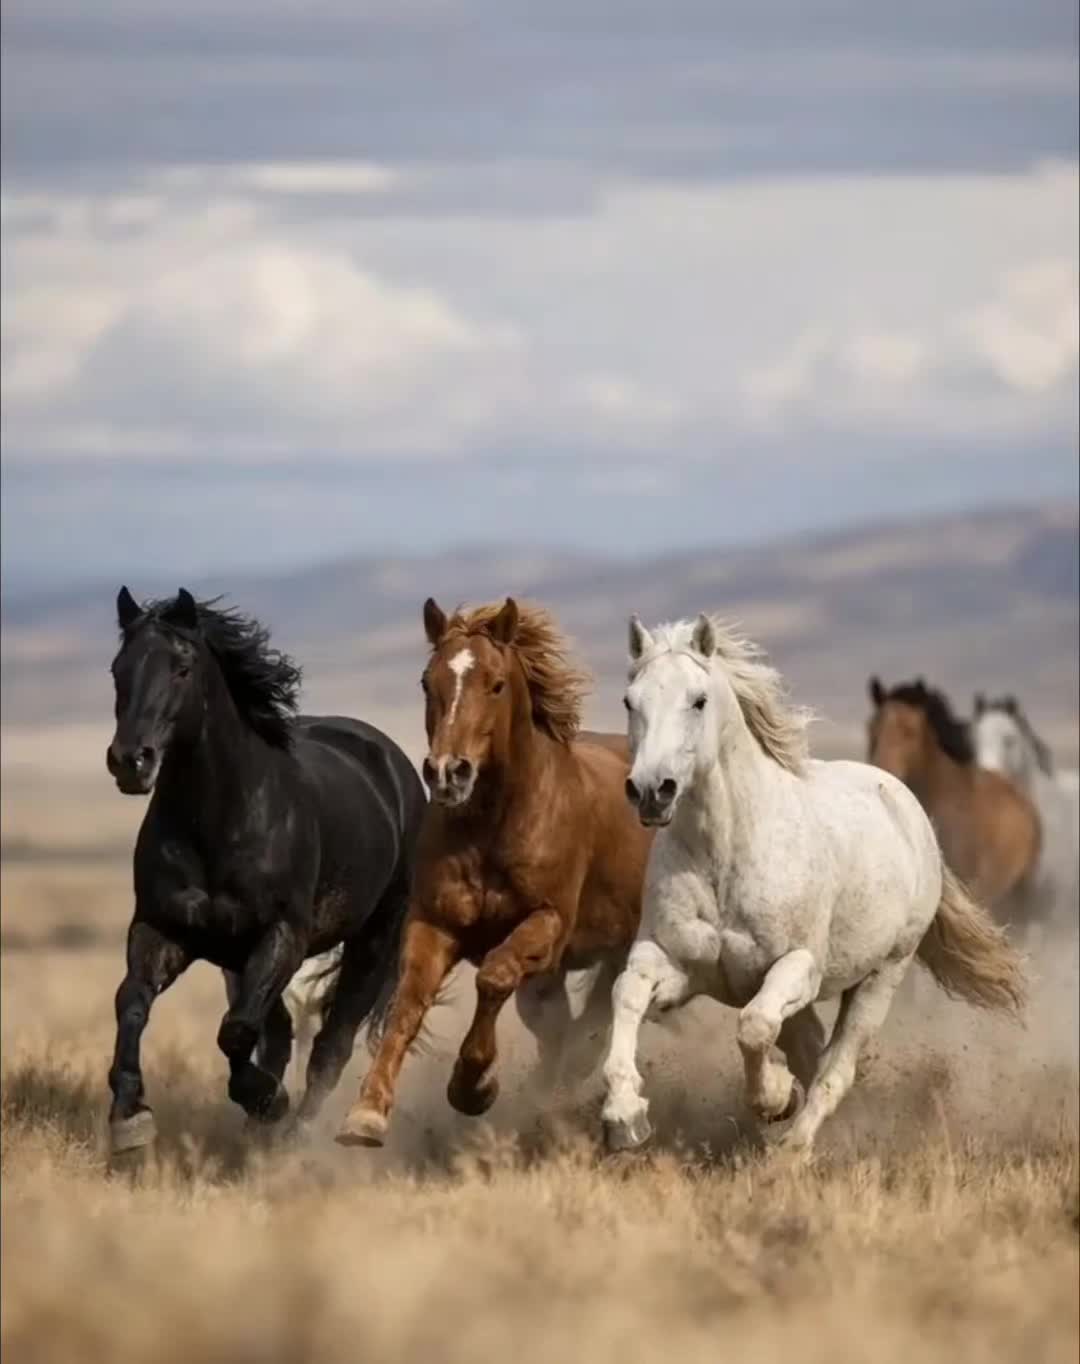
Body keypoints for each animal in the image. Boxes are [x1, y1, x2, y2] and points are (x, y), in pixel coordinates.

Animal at [105, 587, 426, 1157]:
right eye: (118, 669)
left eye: (182, 668)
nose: (130, 761)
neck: (219, 820)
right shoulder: (164, 930)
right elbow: (133, 1005)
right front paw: (129, 1118)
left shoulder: (282, 935)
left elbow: (237, 1032)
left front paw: (266, 1100)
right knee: (277, 1031)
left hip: (373, 940)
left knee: (330, 1045)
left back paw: (298, 1133)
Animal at [335, 596, 653, 1147]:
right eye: (427, 681)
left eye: (497, 683)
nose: (448, 772)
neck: (495, 825)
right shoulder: (434, 922)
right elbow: (408, 1001)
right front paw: (367, 1113)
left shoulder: (547, 926)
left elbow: (494, 975)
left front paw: (473, 1086)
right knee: (560, 1030)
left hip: (620, 948)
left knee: (591, 1024)